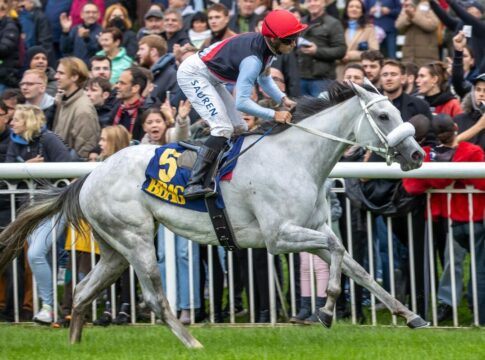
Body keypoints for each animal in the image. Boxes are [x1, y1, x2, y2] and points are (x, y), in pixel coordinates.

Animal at [0, 83, 424, 348]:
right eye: (383, 116)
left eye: (397, 110)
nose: (417, 154)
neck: (296, 158)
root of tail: (89, 177)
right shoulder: (279, 235)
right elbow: (337, 252)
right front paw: (327, 309)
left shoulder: (313, 228)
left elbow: (359, 269)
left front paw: (410, 316)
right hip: (135, 240)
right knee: (154, 298)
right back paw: (193, 342)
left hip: (114, 249)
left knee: (84, 290)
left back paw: (75, 344)